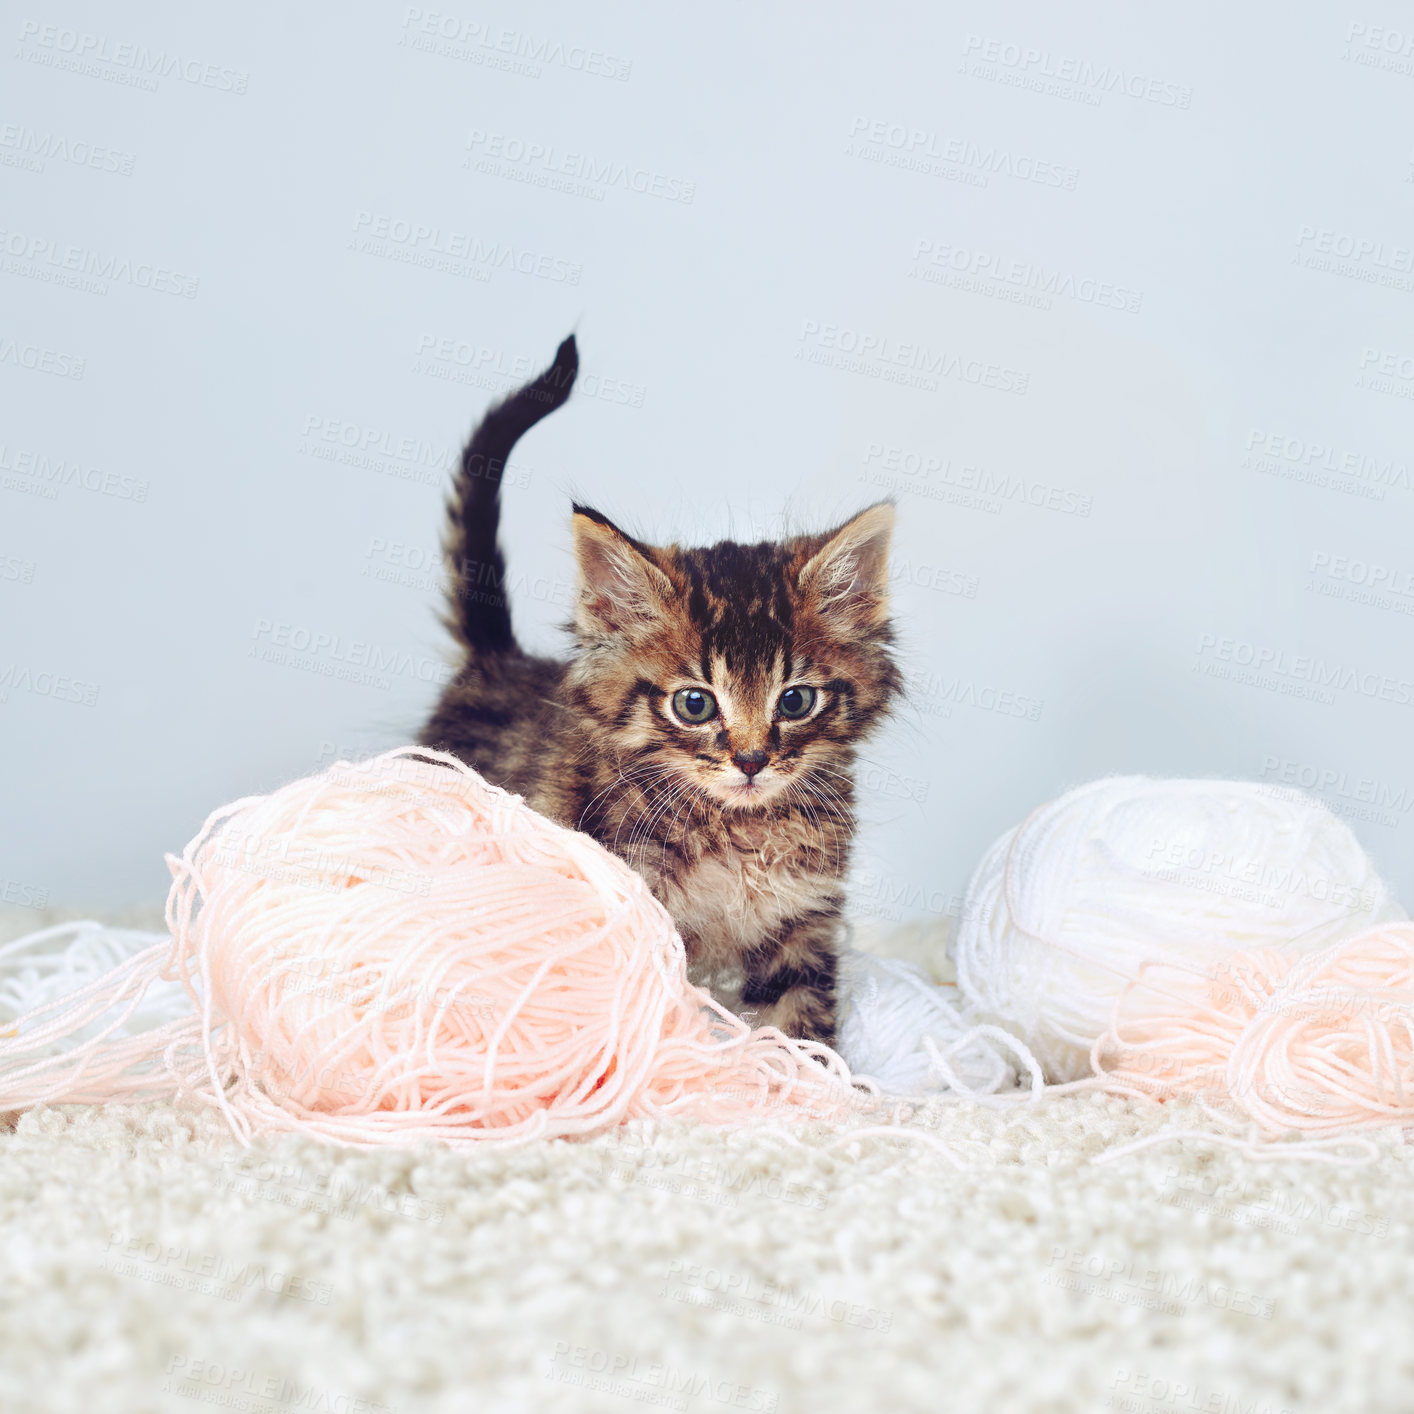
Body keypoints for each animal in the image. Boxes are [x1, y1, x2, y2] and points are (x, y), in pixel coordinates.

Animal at [421, 330, 904, 1040]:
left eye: (795, 700)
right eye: (695, 704)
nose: (752, 761)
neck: (740, 836)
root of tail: (499, 661)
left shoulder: (801, 923)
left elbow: (800, 1029)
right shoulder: (633, 910)